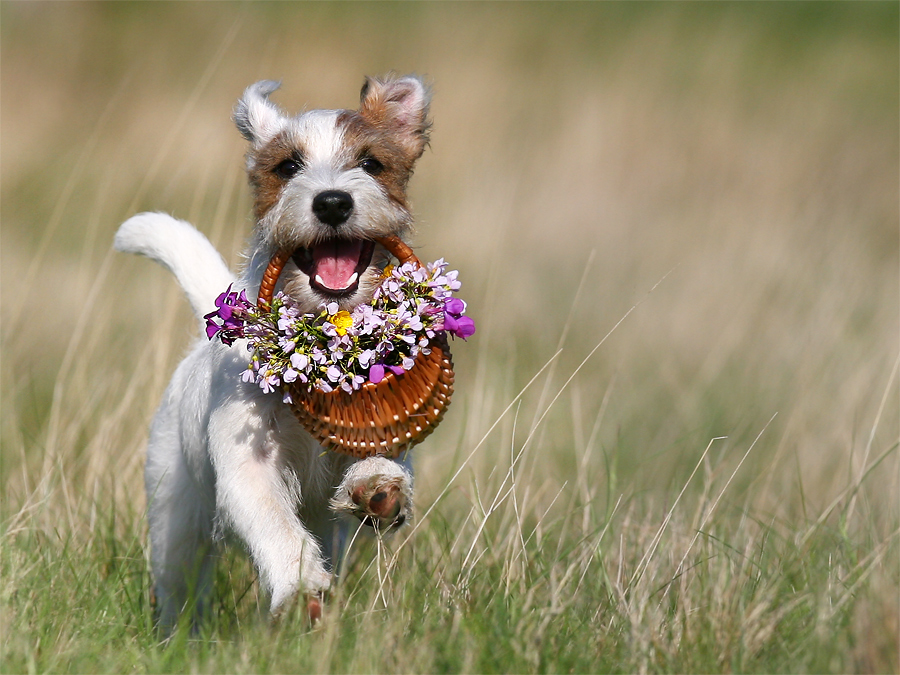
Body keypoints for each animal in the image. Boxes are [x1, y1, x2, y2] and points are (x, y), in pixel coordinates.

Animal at [114, 74, 430, 628]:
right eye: (288, 167)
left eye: (371, 163)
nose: (332, 202)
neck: (323, 347)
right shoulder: (248, 461)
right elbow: (274, 523)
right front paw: (299, 586)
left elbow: (382, 467)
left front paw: (377, 488)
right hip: (177, 519)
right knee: (178, 585)